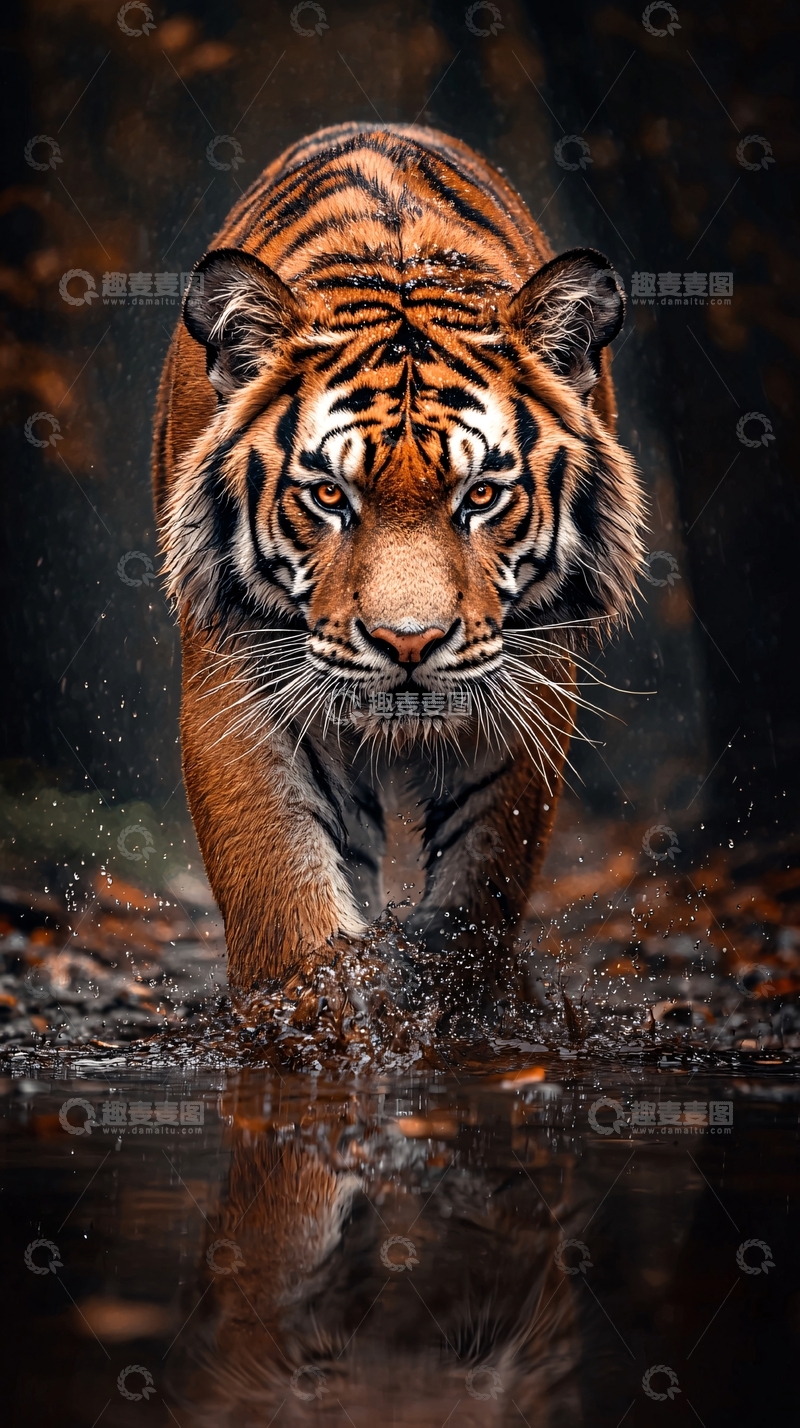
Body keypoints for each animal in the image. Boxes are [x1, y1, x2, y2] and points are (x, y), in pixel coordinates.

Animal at [153, 122, 644, 1002]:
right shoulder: (233, 670)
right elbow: (280, 890)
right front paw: (313, 1014)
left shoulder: (531, 681)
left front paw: (454, 1001)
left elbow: (483, 876)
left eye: (481, 495)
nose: (408, 643)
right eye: (328, 494)